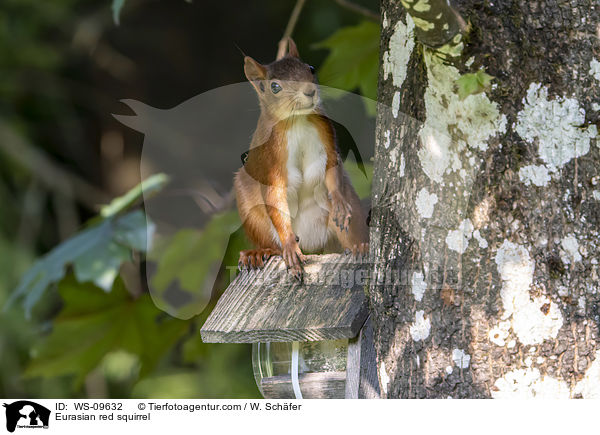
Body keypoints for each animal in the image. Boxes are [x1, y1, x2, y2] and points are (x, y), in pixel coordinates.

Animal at [233, 38, 366, 280]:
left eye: (311, 68)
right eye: (275, 86)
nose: (310, 91)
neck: (297, 120)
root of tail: (313, 245)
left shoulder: (326, 132)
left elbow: (332, 167)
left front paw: (339, 201)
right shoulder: (271, 161)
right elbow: (275, 195)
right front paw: (289, 245)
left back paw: (360, 246)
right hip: (252, 211)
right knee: (271, 242)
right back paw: (259, 253)